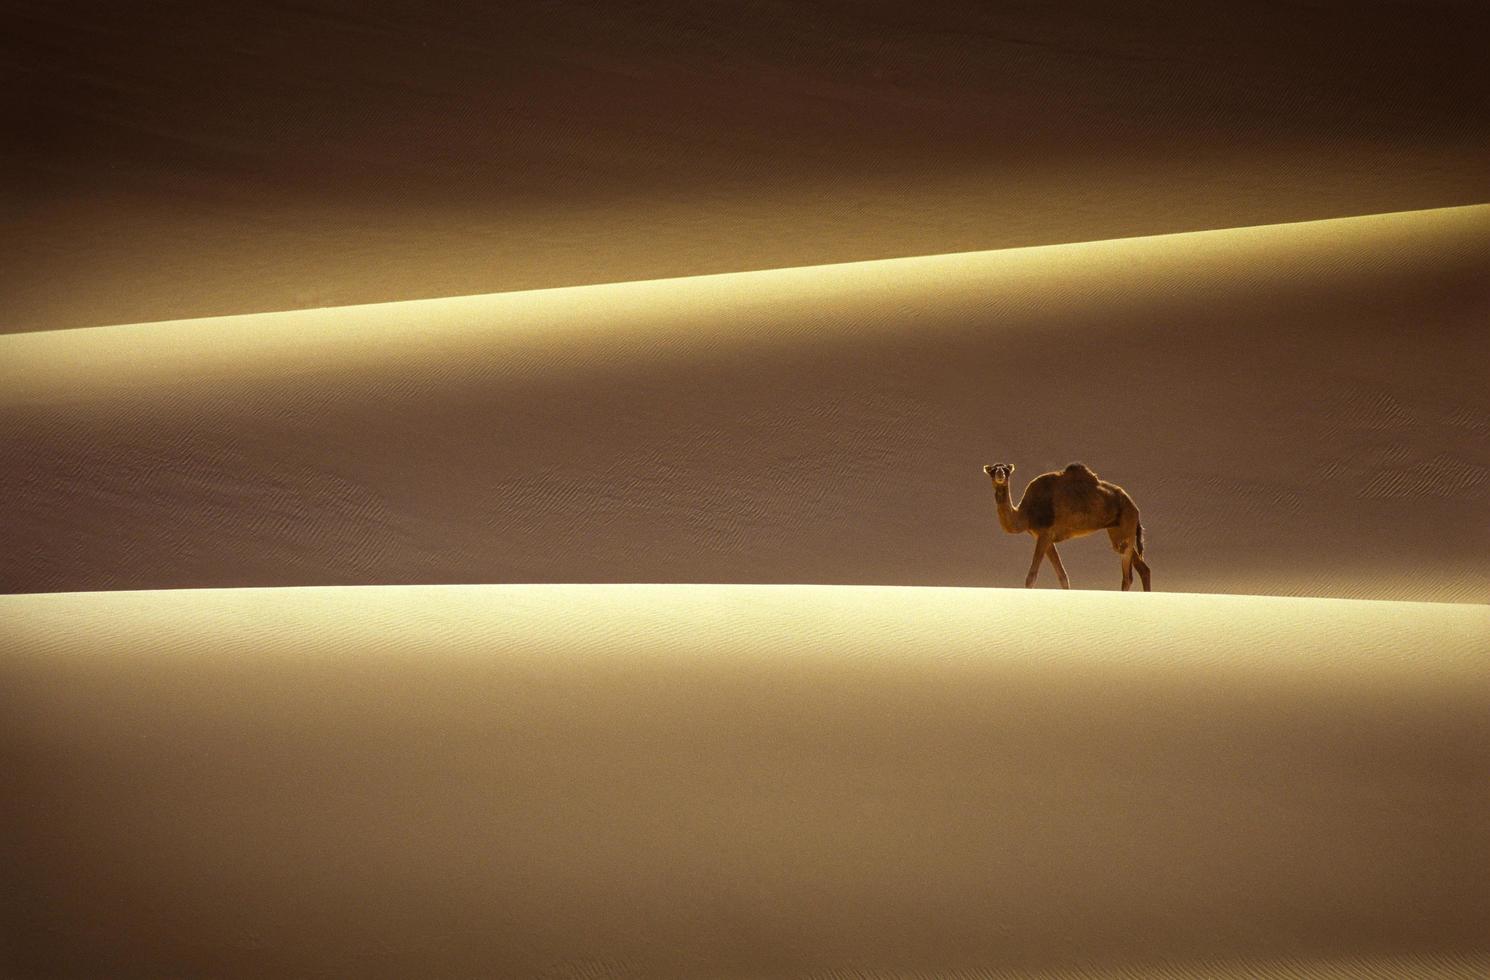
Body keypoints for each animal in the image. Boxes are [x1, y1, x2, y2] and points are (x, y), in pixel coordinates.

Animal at [989, 458, 1150, 586]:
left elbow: (1031, 576)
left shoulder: (1045, 533)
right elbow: (1063, 576)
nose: (1000, 474)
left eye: (1006, 470)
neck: (1025, 513)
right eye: (992, 470)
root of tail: (1135, 507)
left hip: (1126, 525)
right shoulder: (1044, 537)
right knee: (1143, 569)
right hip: (1118, 530)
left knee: (1127, 574)